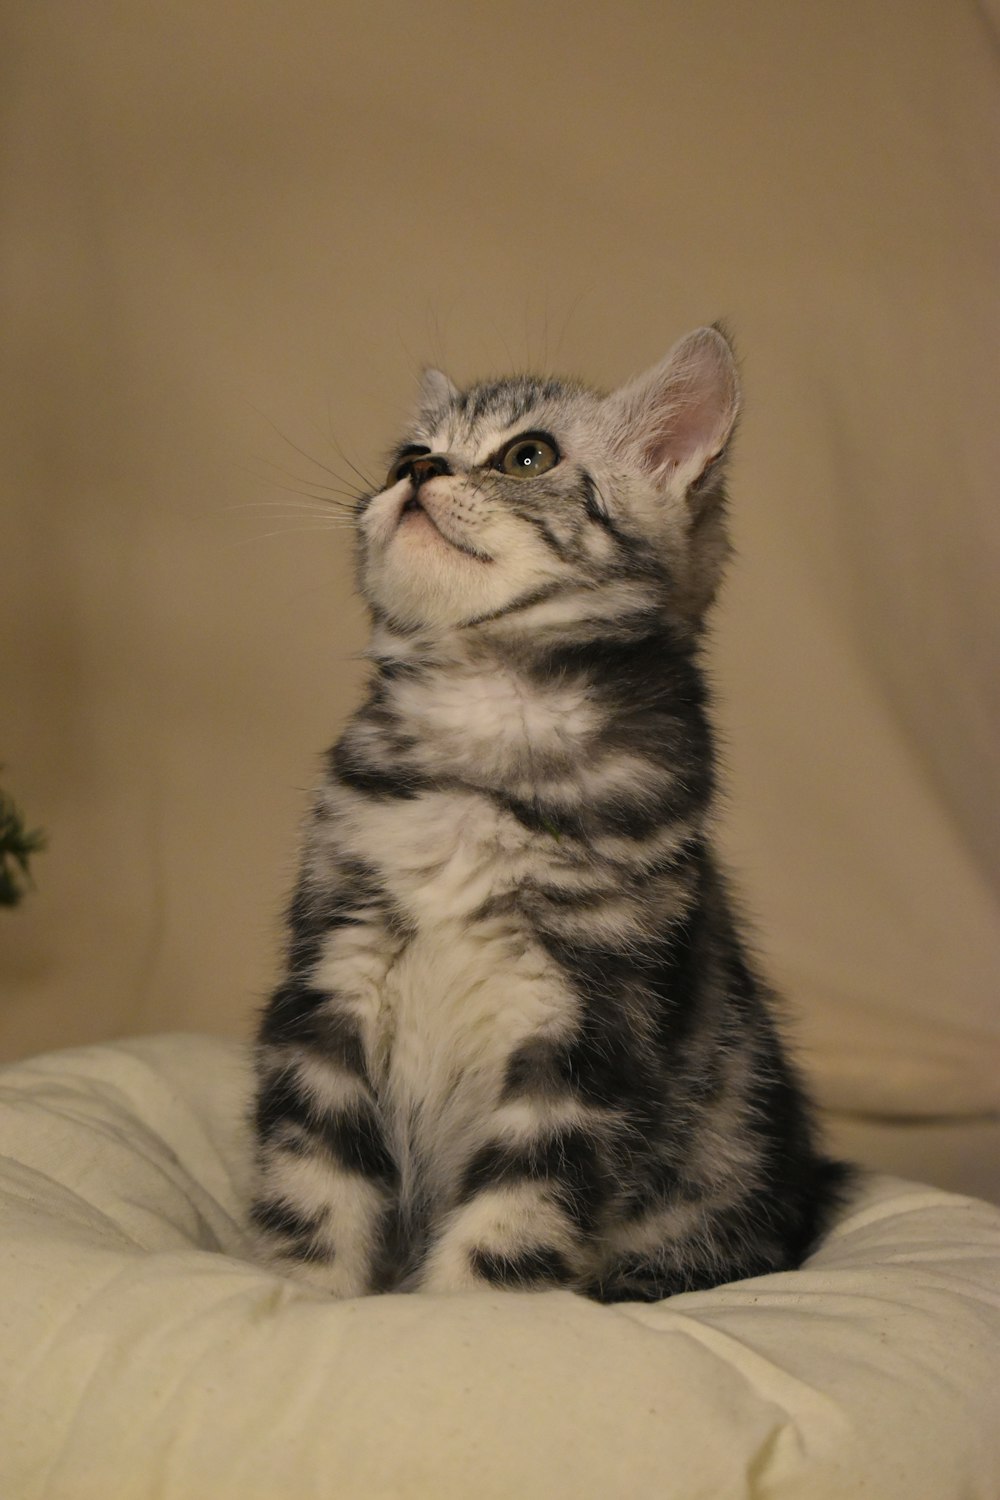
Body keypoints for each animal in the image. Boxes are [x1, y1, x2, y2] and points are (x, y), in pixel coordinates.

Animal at [248, 325, 845, 1302]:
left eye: (527, 456)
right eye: (407, 453)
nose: (416, 473)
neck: (488, 712)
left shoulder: (594, 1032)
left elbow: (512, 1224)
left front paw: (462, 1314)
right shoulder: (329, 981)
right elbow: (311, 1185)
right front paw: (296, 1298)